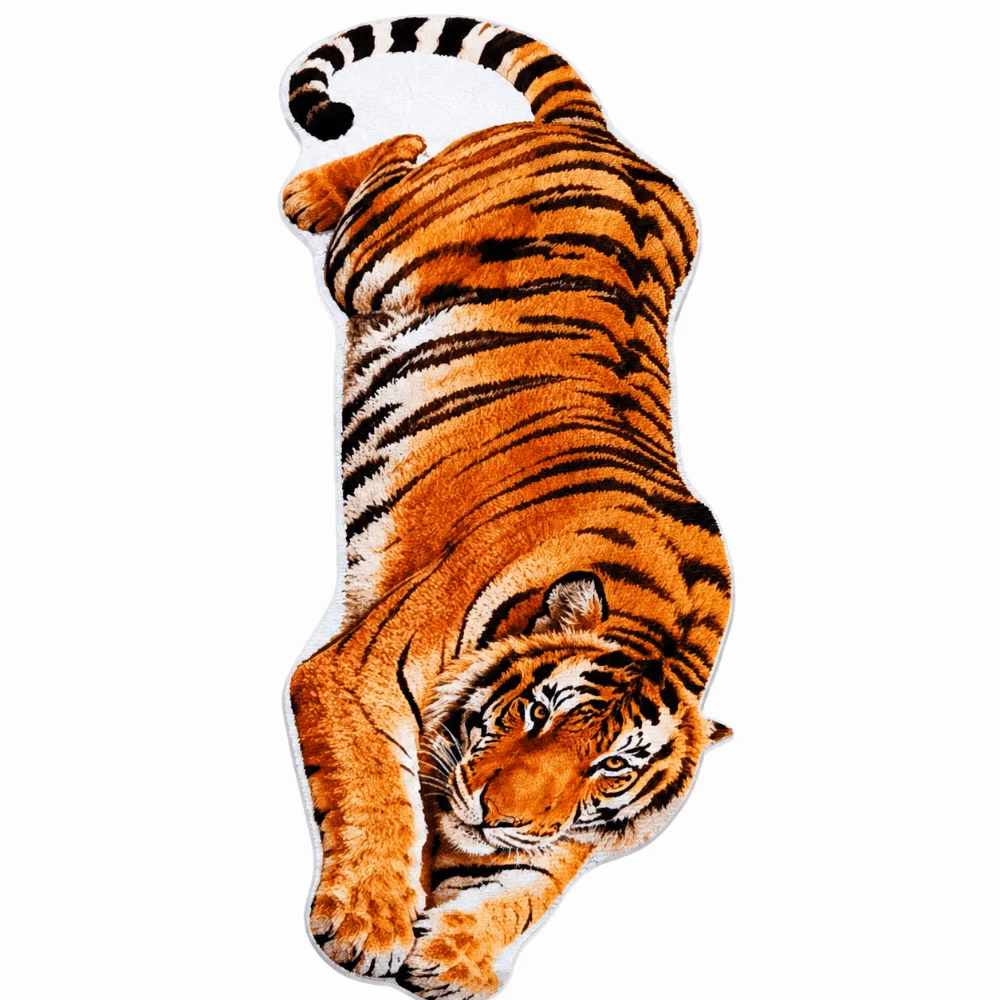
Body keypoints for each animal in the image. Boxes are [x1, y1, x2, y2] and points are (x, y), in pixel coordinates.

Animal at [282, 16, 732, 999]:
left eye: (610, 767)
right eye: (536, 716)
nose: (497, 814)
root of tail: (600, 137)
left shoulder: (564, 838)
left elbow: (533, 884)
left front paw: (458, 953)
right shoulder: (352, 676)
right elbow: (379, 795)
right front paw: (369, 922)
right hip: (369, 253)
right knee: (390, 163)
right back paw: (312, 186)